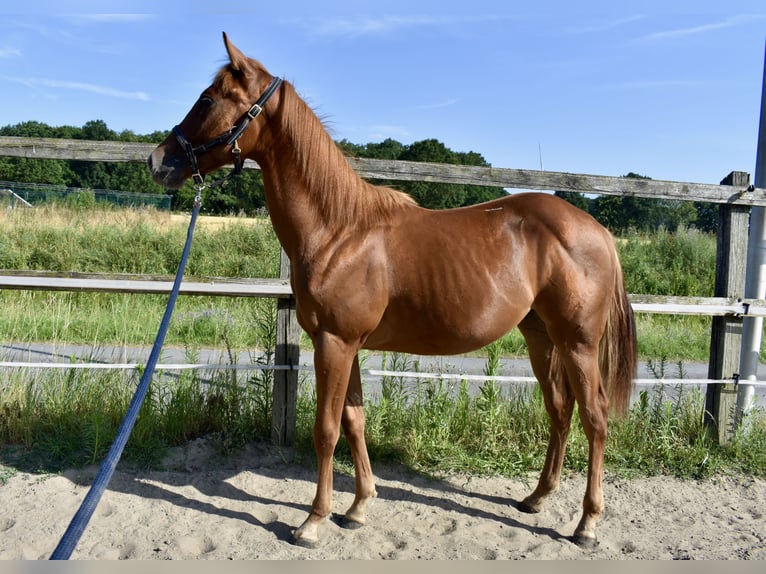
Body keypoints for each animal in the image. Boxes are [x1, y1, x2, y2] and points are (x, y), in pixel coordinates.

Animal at [149, 32, 637, 549]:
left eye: (207, 99)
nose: (157, 161)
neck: (339, 229)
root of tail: (598, 231)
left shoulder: (335, 344)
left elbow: (325, 430)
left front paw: (313, 521)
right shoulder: (345, 345)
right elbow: (354, 421)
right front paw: (358, 507)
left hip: (578, 342)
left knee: (595, 417)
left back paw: (586, 524)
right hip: (541, 336)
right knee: (560, 410)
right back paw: (537, 497)